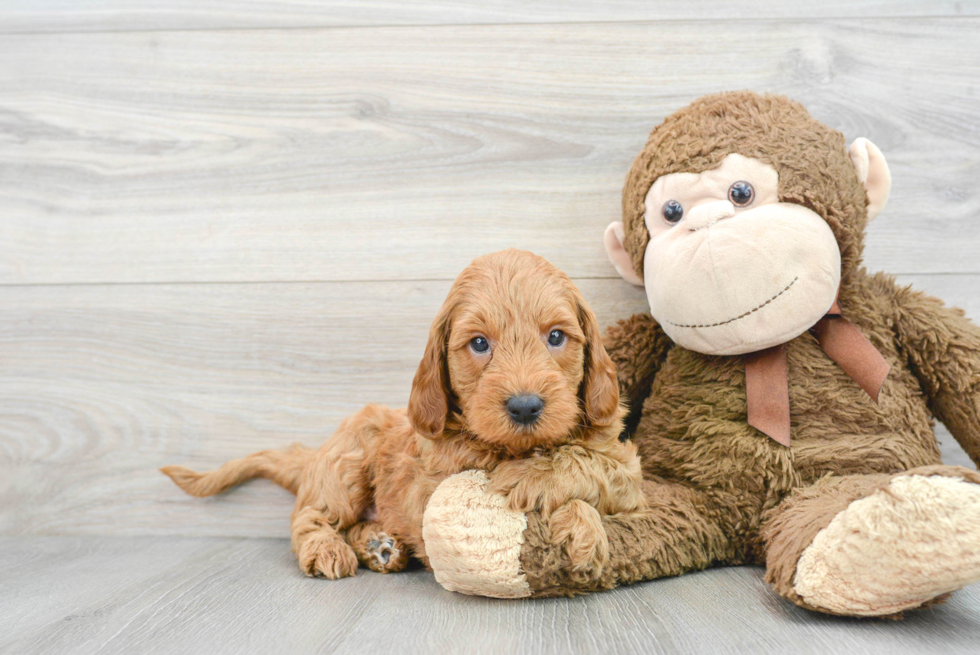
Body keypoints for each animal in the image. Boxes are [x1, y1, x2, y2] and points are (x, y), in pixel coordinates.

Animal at [165, 250, 648, 580]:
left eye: (556, 337)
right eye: (479, 344)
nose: (525, 406)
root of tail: (317, 453)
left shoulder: (627, 471)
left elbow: (592, 464)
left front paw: (566, 511)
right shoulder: (433, 484)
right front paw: (545, 495)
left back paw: (382, 546)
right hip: (348, 462)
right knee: (310, 516)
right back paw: (331, 549)